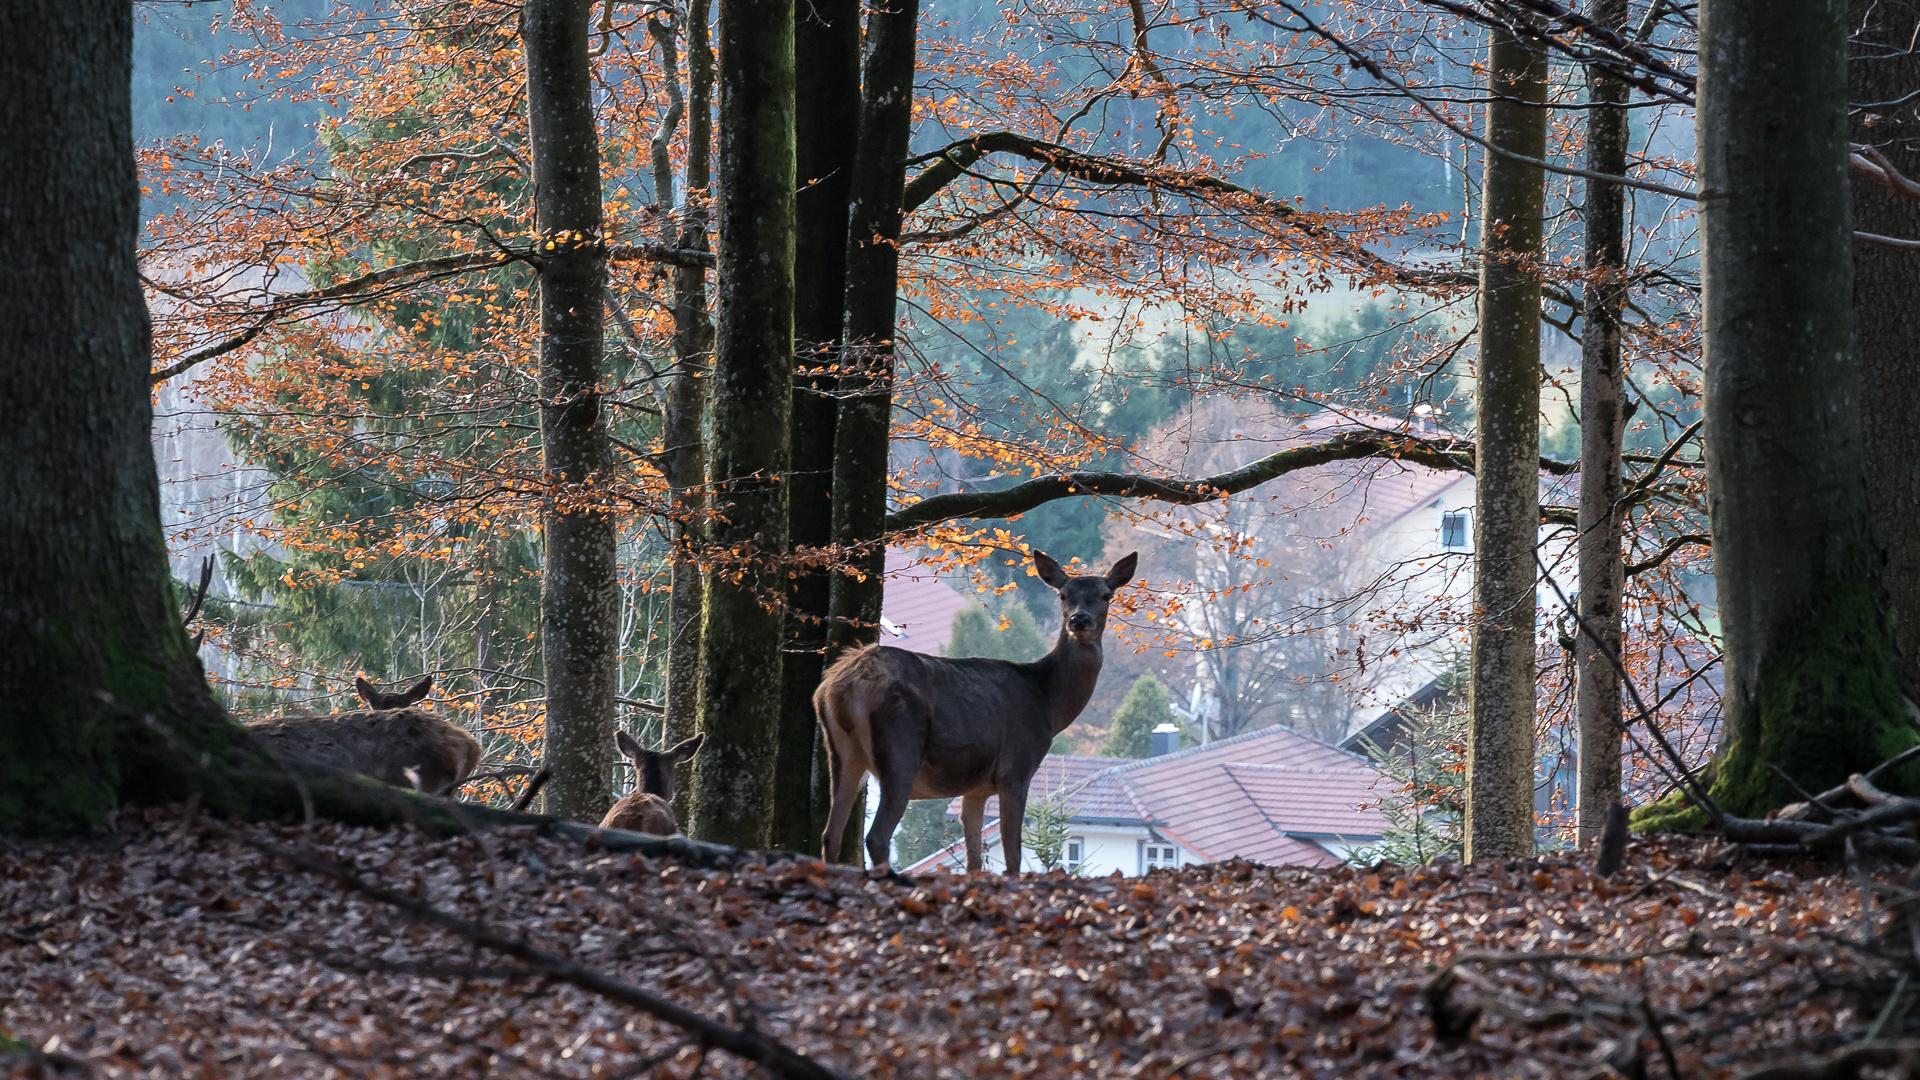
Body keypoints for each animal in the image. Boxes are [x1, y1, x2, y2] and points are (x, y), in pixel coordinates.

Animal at [814, 549, 1136, 868]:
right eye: (1063, 594)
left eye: (1106, 594)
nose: (1079, 620)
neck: (1048, 703)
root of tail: (842, 684)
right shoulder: (1015, 769)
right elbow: (1013, 854)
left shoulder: (974, 789)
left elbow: (974, 860)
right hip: (899, 747)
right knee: (876, 836)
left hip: (842, 754)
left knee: (830, 833)